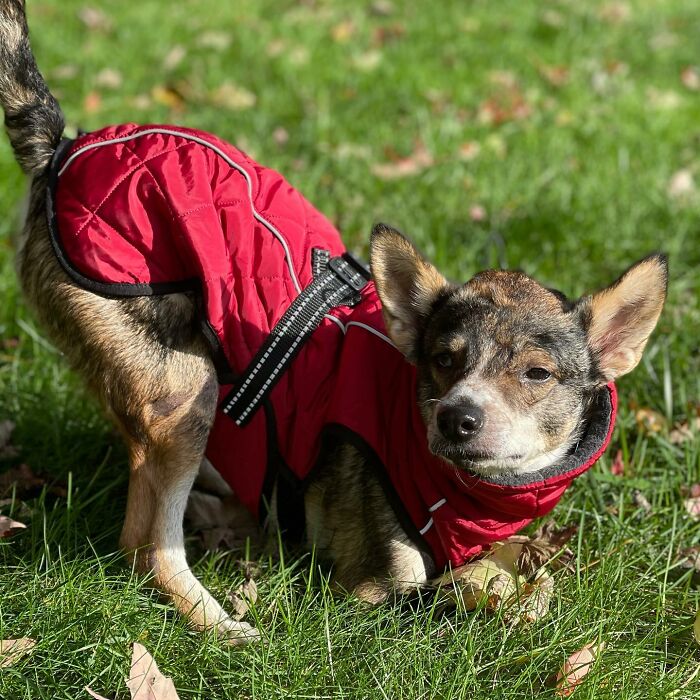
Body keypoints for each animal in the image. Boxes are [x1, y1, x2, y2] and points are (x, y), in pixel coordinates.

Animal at [0, 1, 668, 644]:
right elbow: (455, 595)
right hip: (182, 394)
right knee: (144, 545)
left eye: (536, 374)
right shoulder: (370, 592)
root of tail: (63, 148)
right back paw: (220, 622)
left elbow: (530, 572)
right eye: (444, 360)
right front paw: (492, 593)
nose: (457, 418)